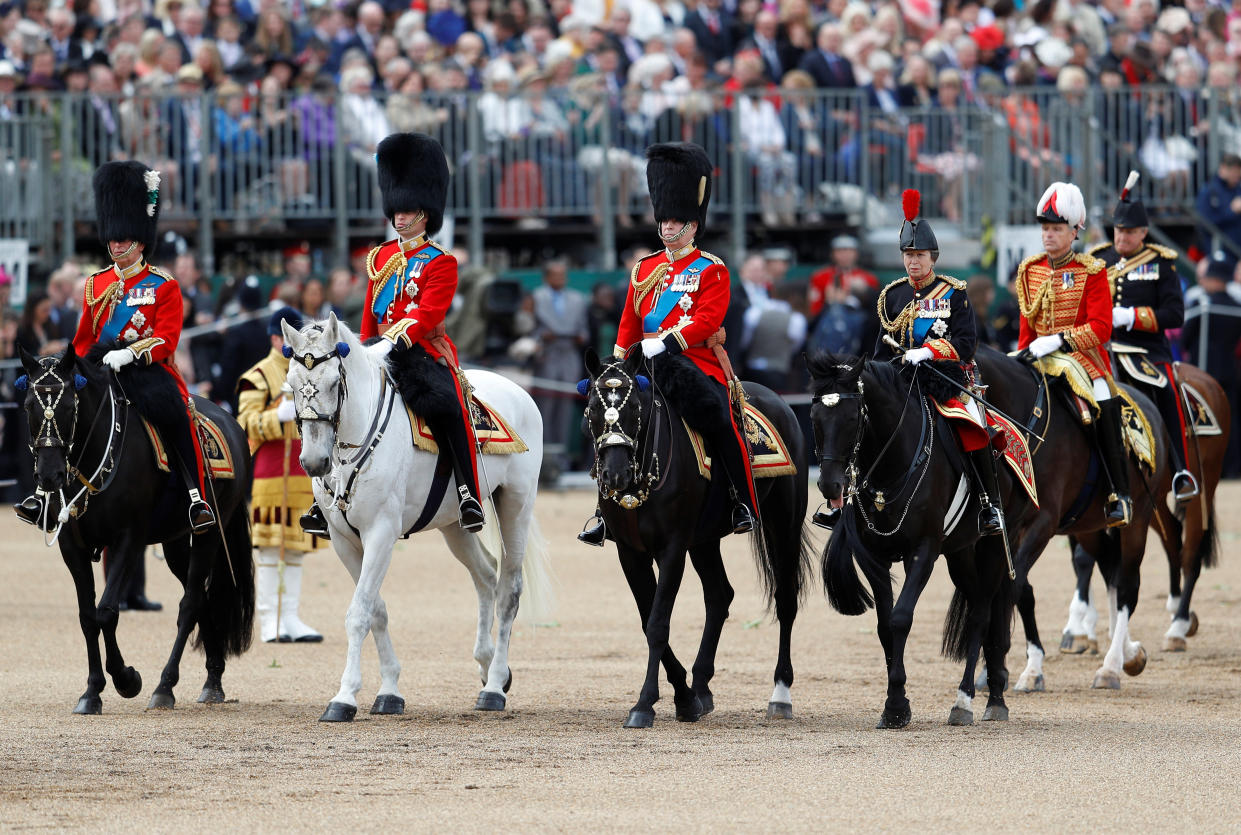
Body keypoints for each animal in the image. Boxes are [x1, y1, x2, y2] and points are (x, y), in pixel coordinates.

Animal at [16, 342, 255, 714]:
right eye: (29, 406)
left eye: (69, 406)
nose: (50, 476)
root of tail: (230, 419)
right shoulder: (72, 547)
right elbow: (87, 617)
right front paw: (92, 691)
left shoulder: (128, 539)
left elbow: (106, 612)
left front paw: (126, 679)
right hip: (175, 543)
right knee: (199, 597)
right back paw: (213, 680)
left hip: (209, 534)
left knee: (189, 603)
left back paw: (165, 686)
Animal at [284, 316, 551, 719]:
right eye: (292, 384)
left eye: (334, 382)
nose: (315, 462)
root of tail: (517, 389)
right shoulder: (345, 541)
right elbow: (376, 610)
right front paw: (389, 690)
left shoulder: (381, 533)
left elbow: (359, 613)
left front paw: (344, 697)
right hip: (455, 526)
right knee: (486, 576)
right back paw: (487, 664)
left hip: (516, 505)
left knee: (509, 590)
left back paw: (494, 687)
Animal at [580, 347, 814, 724]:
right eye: (591, 409)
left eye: (635, 409)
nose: (615, 475)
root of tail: (780, 402)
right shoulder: (631, 553)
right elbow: (648, 620)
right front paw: (685, 697)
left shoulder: (673, 548)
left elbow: (658, 623)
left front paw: (645, 703)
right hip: (704, 540)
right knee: (720, 595)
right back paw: (702, 686)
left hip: (784, 522)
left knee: (786, 599)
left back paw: (781, 693)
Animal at [809, 349, 1032, 724]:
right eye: (814, 416)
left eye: (853, 417)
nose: (830, 485)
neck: (892, 466)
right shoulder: (872, 556)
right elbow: (885, 626)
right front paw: (895, 703)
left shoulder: (924, 551)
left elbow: (901, 618)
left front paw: (897, 706)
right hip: (960, 553)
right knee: (978, 605)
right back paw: (990, 695)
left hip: (997, 544)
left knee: (983, 612)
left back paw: (970, 699)